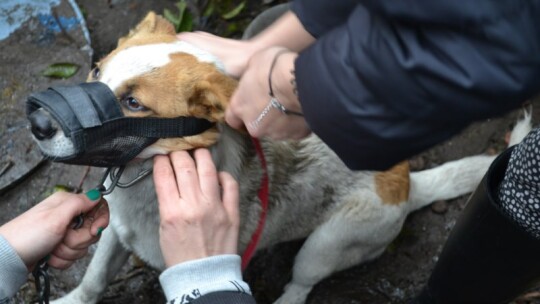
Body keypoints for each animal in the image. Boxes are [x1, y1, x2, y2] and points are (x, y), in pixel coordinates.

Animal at [32, 11, 532, 304]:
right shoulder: (115, 234)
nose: (36, 123)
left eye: (133, 103)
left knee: (302, 284)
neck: (142, 186)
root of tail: (407, 183)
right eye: (96, 70)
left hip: (324, 246)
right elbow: (93, 280)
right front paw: (69, 301)